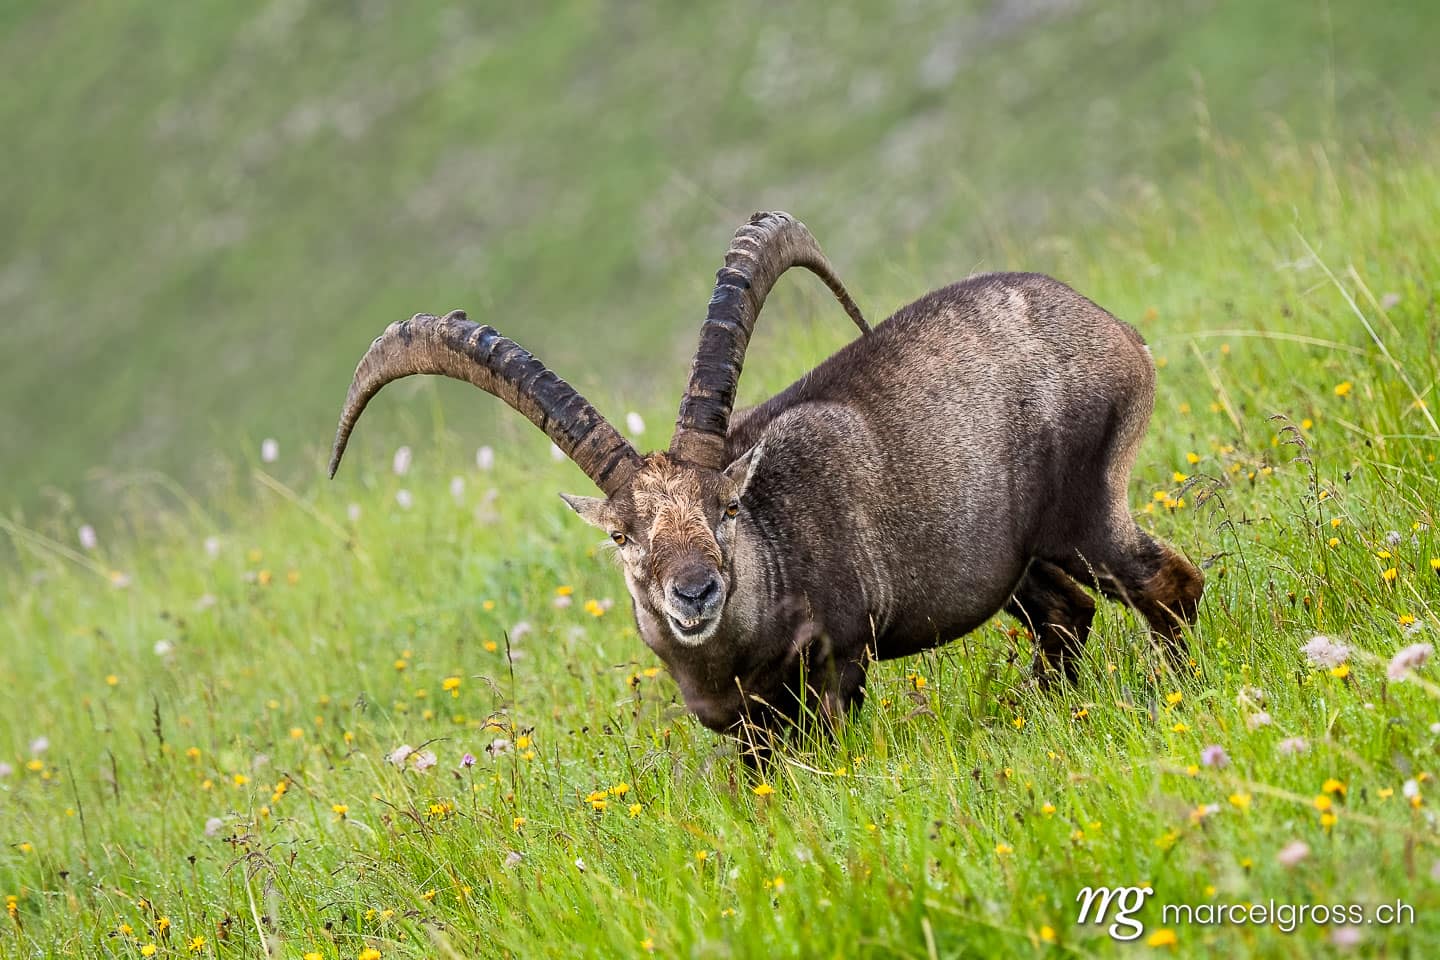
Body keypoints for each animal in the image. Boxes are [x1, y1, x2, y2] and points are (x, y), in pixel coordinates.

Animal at [329, 212, 1203, 743]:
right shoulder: (741, 726)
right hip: (1014, 560)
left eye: (725, 508)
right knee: (1068, 613)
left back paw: (1175, 688)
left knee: (1168, 583)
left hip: (1085, 506)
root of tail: (1115, 332)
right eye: (622, 534)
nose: (696, 592)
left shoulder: (838, 661)